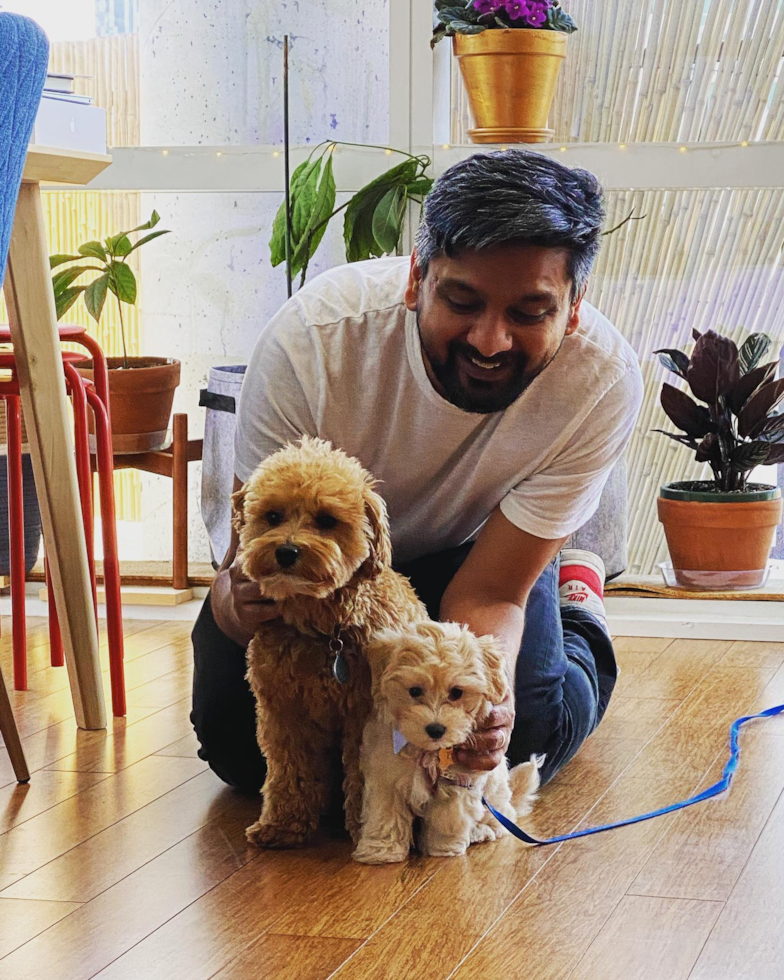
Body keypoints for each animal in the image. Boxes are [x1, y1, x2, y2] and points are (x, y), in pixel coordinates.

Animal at [233, 438, 426, 848]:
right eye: (272, 516)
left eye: (325, 520)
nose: (286, 551)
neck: (324, 632)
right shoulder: (285, 712)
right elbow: (289, 771)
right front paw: (284, 824)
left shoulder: (365, 717)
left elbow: (366, 775)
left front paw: (367, 826)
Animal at [354, 620, 540, 864]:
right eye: (415, 691)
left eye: (456, 693)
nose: (435, 729)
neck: (427, 751)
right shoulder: (386, 776)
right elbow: (384, 813)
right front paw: (381, 850)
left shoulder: (459, 781)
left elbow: (448, 816)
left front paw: (443, 847)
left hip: (495, 793)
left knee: (500, 818)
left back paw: (481, 831)